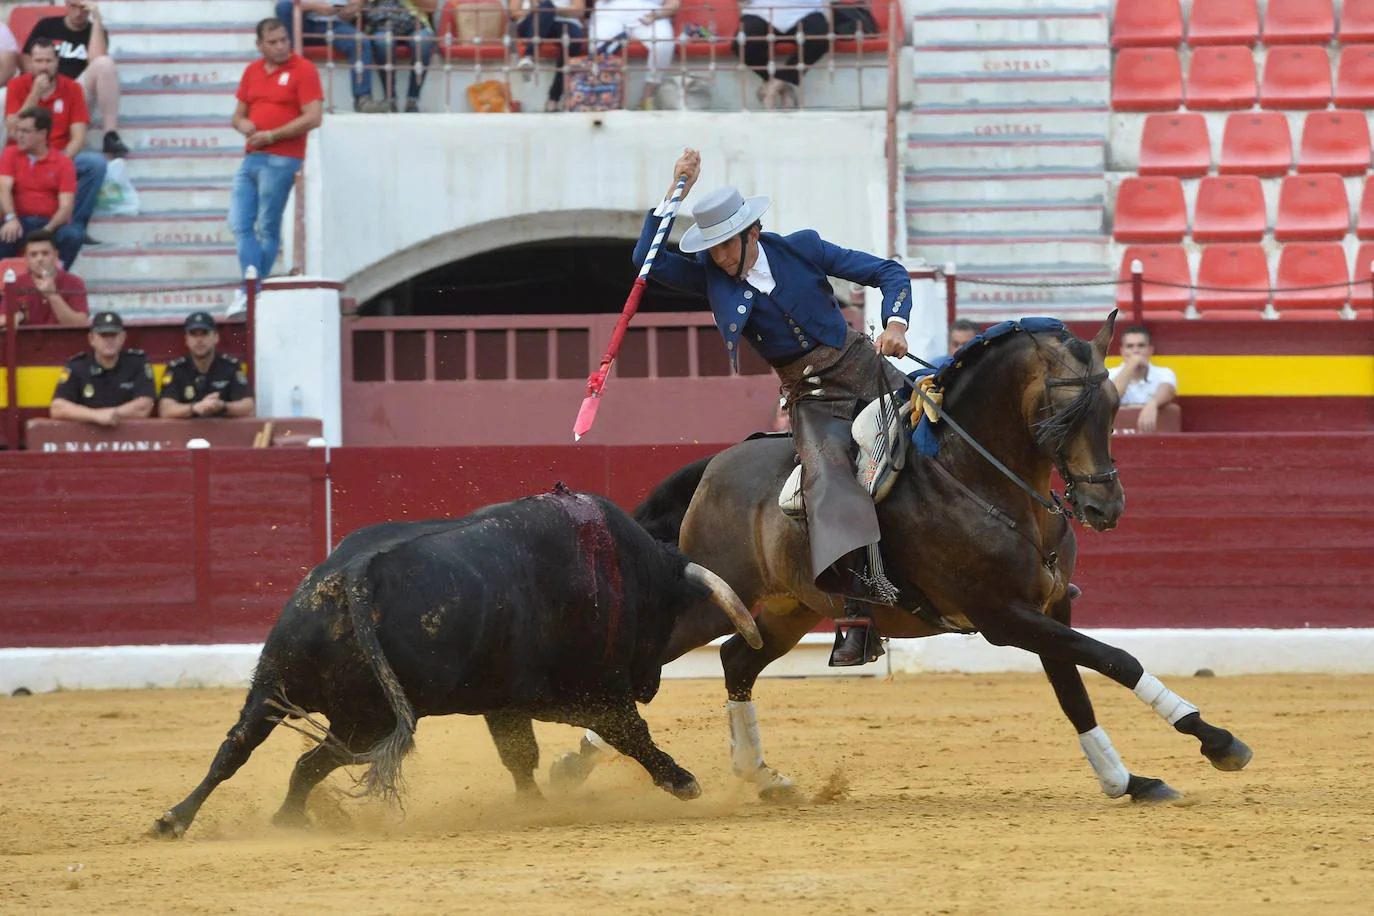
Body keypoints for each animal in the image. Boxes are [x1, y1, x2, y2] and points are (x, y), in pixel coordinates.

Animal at [158, 486, 774, 840]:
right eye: (663, 619)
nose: (649, 683)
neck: (622, 569)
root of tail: (354, 572)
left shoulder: (504, 703)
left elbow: (519, 756)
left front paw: (532, 804)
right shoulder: (576, 693)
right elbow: (628, 731)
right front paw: (682, 781)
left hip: (276, 684)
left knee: (240, 749)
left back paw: (186, 819)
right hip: (366, 720)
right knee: (310, 762)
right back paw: (283, 818)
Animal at [552, 313, 1253, 802]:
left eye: (1109, 407)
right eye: (1061, 413)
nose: (1105, 506)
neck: (980, 480)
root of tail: (716, 465)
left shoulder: (1048, 608)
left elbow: (1075, 689)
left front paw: (1126, 780)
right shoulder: (1004, 618)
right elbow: (1114, 659)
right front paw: (1217, 742)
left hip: (786, 611)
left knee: (736, 664)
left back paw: (761, 775)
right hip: (718, 595)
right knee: (663, 653)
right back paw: (584, 766)